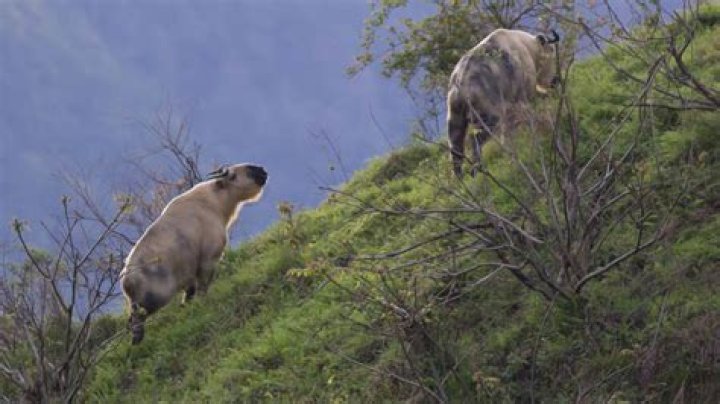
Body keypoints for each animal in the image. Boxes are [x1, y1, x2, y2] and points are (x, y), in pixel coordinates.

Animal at [120, 163, 268, 344]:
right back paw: (137, 340)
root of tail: (126, 281)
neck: (216, 202)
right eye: (242, 171)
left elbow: (189, 295)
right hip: (154, 298)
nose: (263, 171)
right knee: (135, 319)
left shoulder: (189, 274)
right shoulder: (208, 260)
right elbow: (203, 288)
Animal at [447, 28, 560, 177]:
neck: (527, 47)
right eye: (551, 51)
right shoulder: (523, 98)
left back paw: (459, 178)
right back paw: (477, 169)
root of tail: (461, 83)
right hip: (489, 116)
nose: (555, 80)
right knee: (475, 139)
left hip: (455, 117)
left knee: (455, 147)